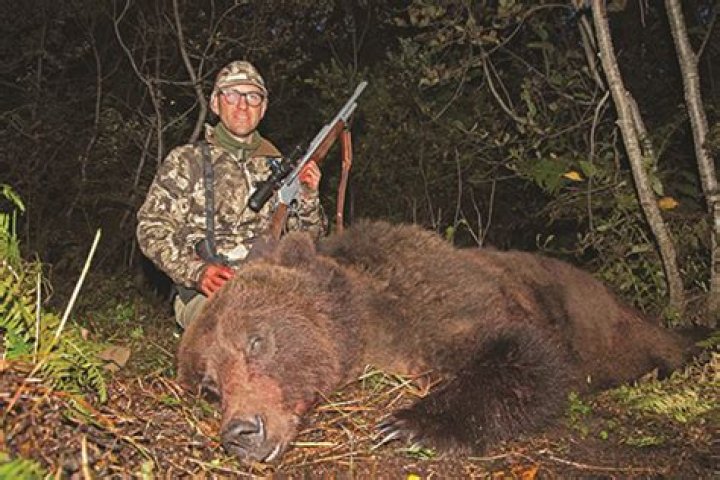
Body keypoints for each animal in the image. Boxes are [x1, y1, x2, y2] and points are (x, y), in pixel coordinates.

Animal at [176, 220, 688, 463]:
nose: (241, 432)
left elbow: (529, 355)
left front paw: (409, 423)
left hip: (606, 321)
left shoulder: (441, 303)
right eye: (210, 387)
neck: (368, 321)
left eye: (257, 341)